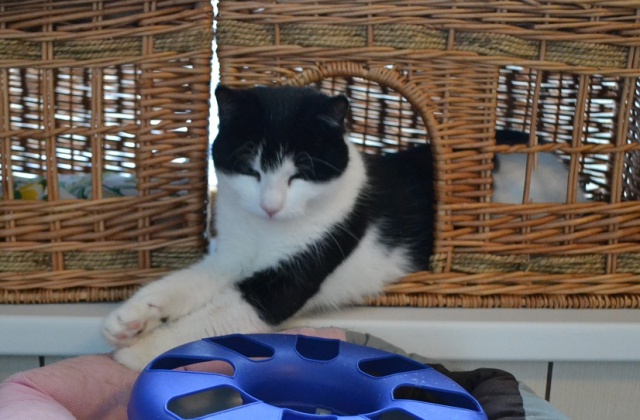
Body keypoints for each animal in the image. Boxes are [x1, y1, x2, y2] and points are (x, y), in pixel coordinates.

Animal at [103, 85, 436, 370]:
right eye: (251, 171)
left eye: (300, 174)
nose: (270, 206)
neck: (264, 230)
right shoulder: (231, 257)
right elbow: (186, 282)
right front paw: (131, 318)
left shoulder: (293, 275)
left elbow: (215, 318)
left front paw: (140, 352)